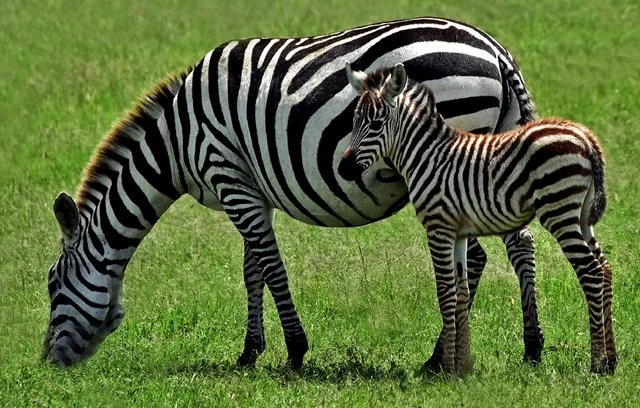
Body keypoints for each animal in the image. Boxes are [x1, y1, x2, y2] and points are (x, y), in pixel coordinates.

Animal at [43, 17, 544, 370]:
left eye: (52, 285)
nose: (47, 363)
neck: (176, 141)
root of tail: (496, 50)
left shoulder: (227, 174)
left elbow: (271, 265)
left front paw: (296, 350)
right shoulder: (248, 187)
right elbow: (252, 269)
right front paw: (249, 351)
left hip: (450, 162)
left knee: (475, 257)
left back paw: (439, 358)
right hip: (493, 152)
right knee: (520, 245)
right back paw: (531, 347)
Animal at [340, 62, 616, 375]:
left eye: (376, 124)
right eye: (354, 121)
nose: (344, 168)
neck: (426, 156)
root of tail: (585, 137)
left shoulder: (438, 226)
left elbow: (445, 292)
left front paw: (446, 367)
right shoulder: (458, 232)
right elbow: (460, 291)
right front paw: (462, 365)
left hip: (558, 209)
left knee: (590, 271)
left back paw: (597, 364)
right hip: (582, 216)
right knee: (605, 268)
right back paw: (612, 359)